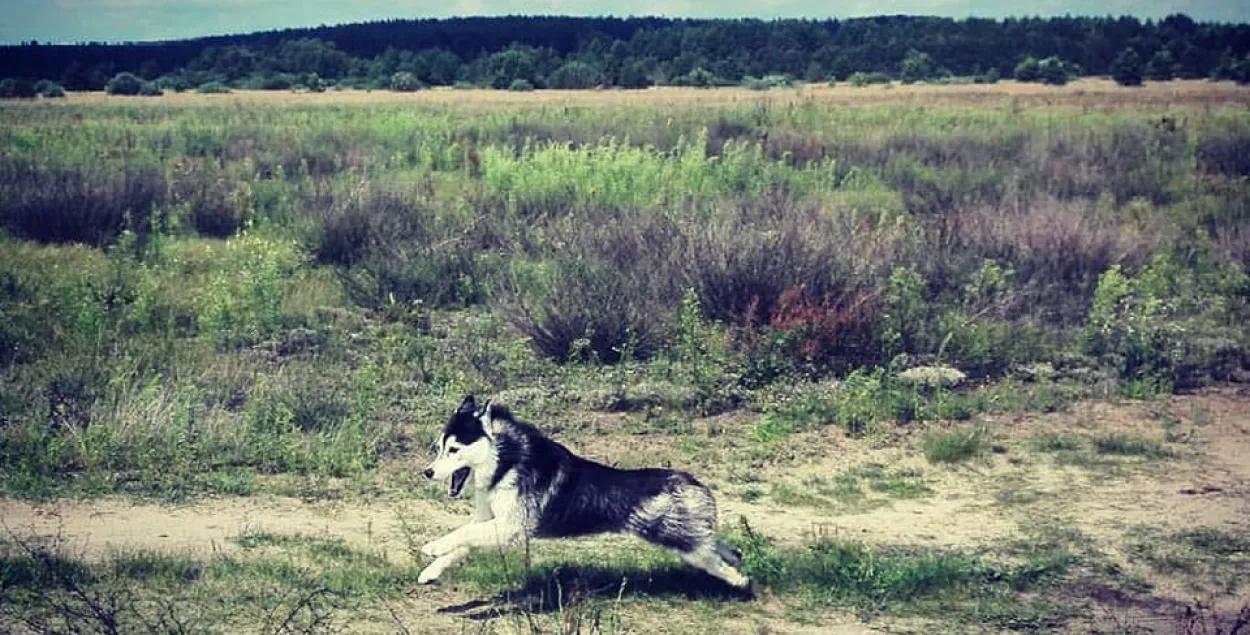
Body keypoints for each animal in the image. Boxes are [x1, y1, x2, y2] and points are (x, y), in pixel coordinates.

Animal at [420, 395, 750, 587]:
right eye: (439, 448)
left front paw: (432, 547)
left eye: (454, 449)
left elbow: (462, 535)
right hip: (687, 534)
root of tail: (691, 481)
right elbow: (461, 542)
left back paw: (739, 580)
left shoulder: (512, 526)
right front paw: (431, 570)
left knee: (711, 558)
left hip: (677, 539)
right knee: (718, 545)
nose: (427, 472)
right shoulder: (491, 522)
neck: (506, 460)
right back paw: (734, 559)